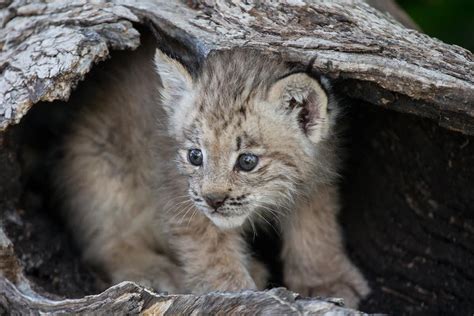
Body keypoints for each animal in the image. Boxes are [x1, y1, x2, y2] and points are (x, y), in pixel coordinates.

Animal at [56, 43, 370, 308]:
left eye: (247, 161)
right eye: (196, 156)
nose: (213, 200)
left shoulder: (319, 175)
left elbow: (316, 225)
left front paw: (326, 280)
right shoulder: (180, 194)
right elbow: (210, 247)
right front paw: (234, 292)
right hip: (101, 166)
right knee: (103, 242)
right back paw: (155, 269)